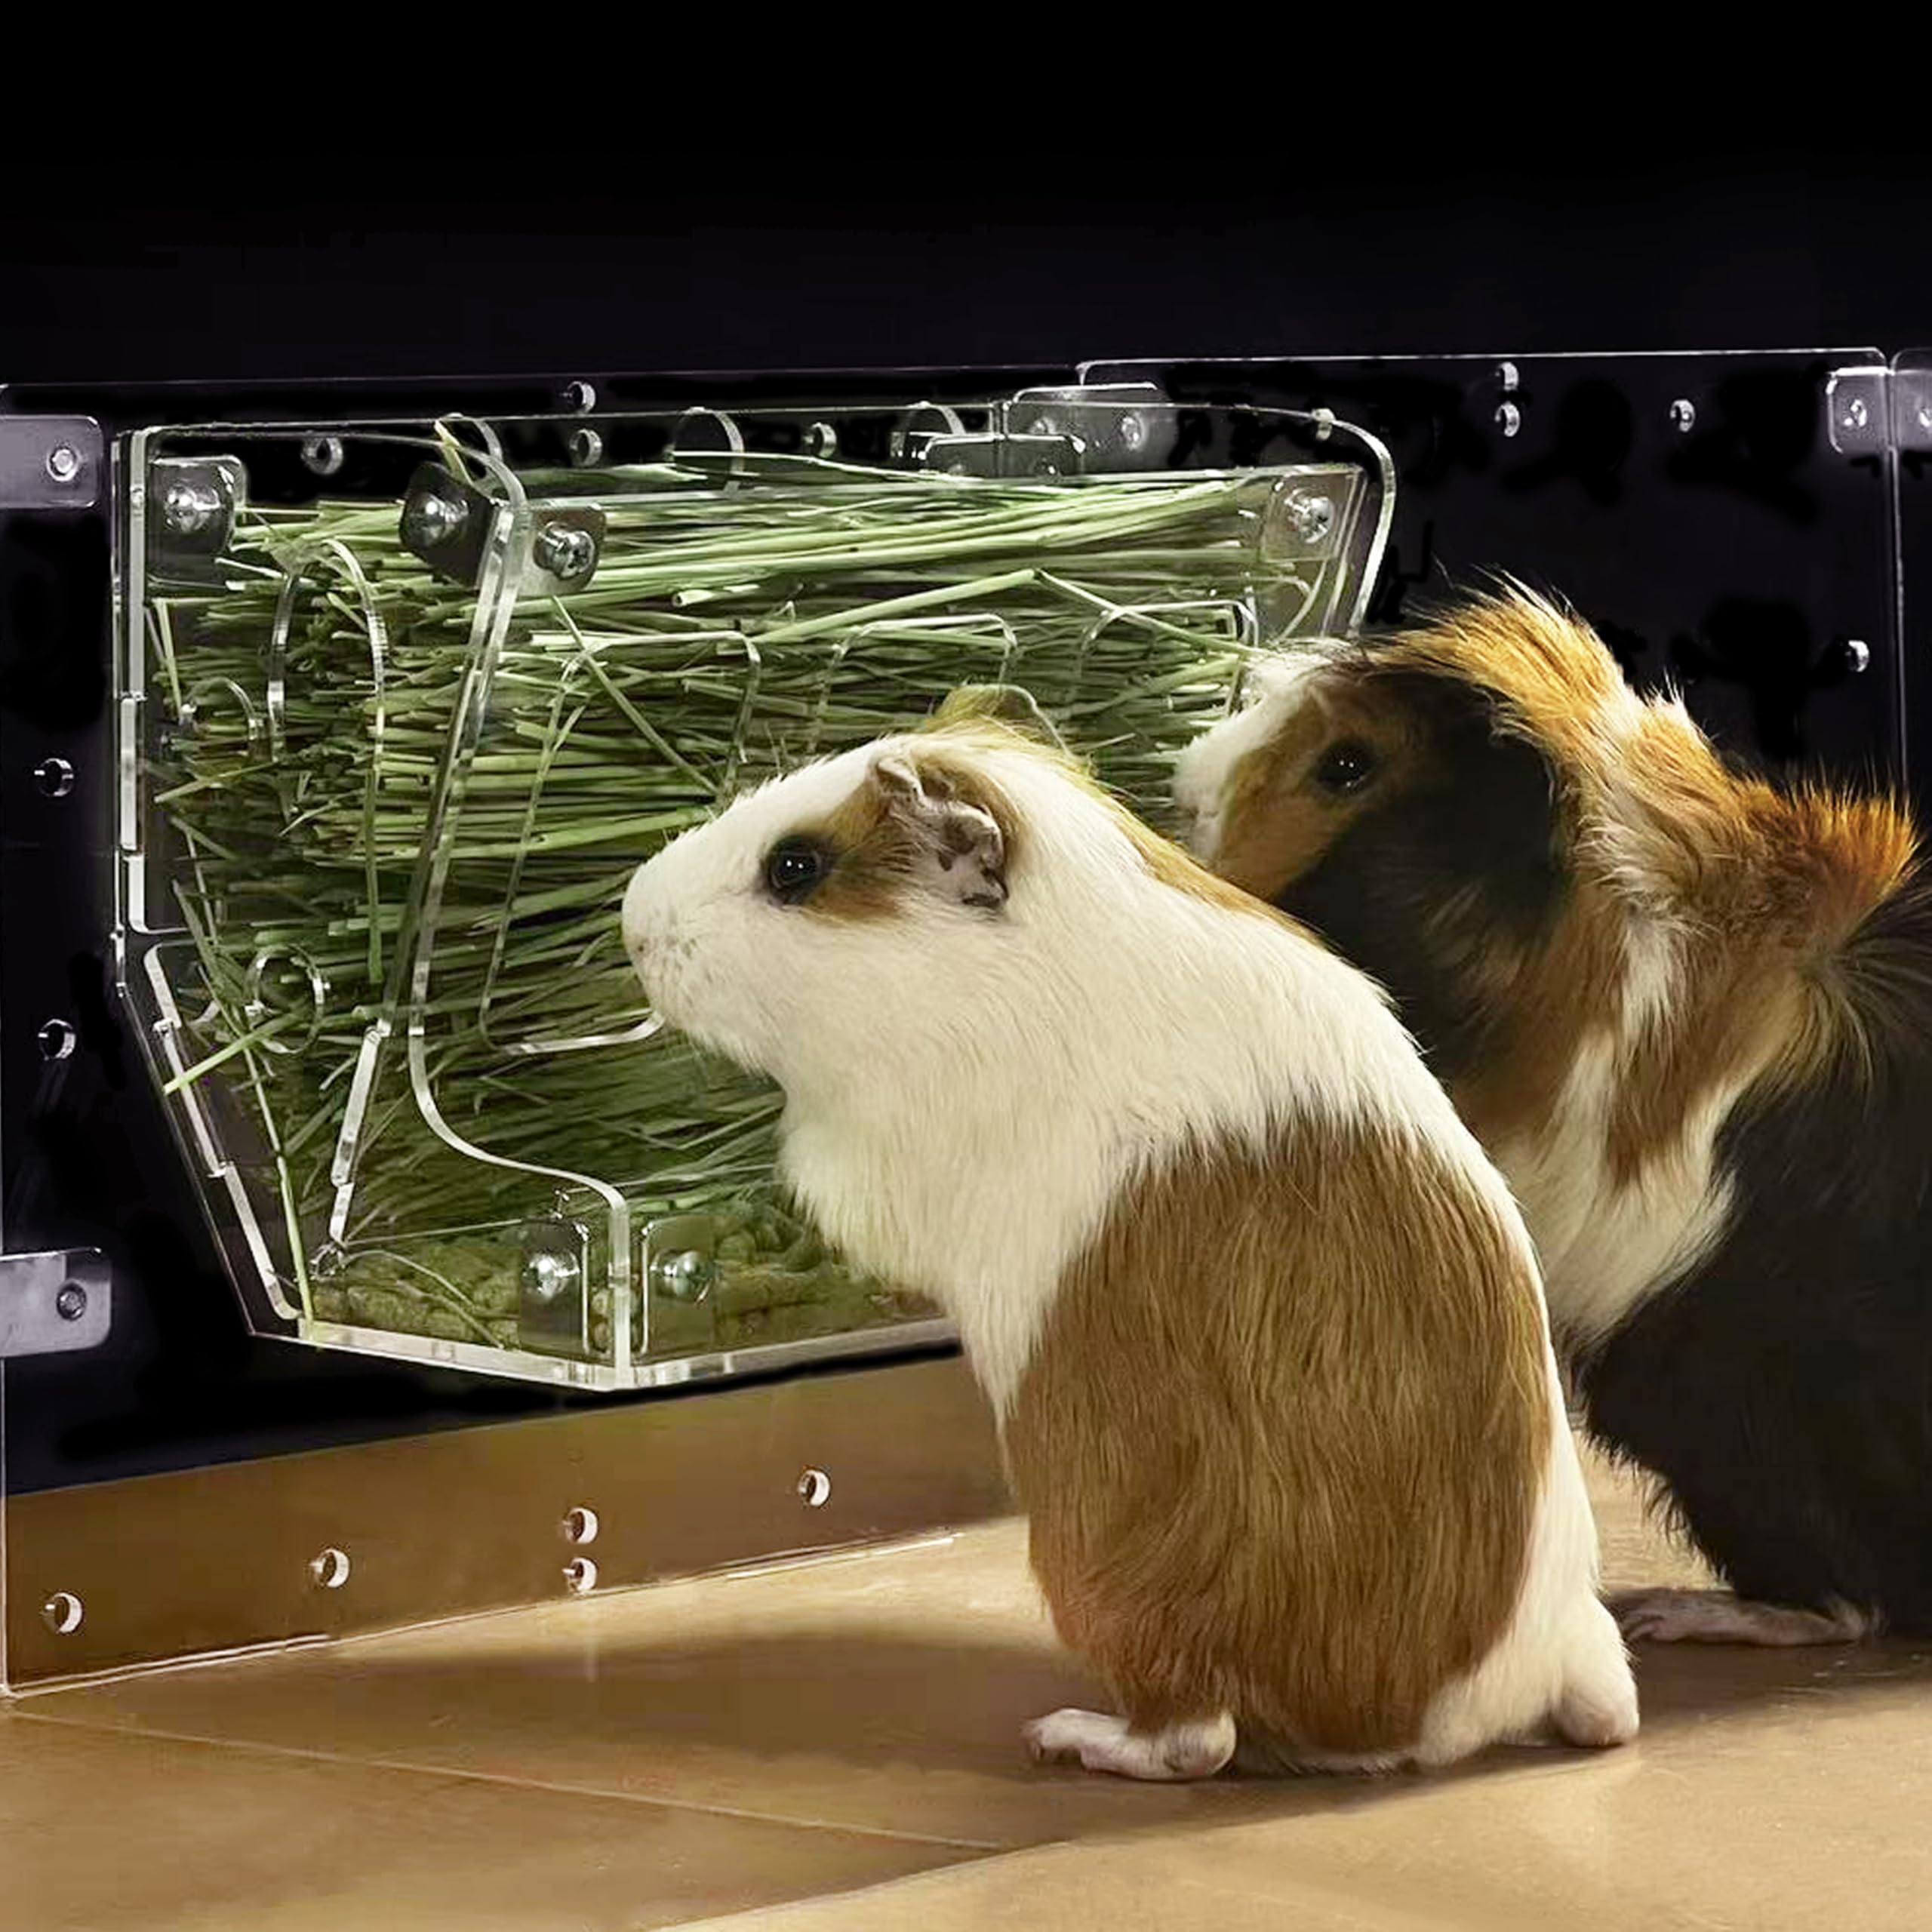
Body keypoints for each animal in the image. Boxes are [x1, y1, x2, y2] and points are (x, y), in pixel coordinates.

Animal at [621, 706, 1636, 1778]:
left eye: (795, 866)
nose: (635, 921)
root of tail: (1483, 1690)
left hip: (1106, 1577)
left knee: (1195, 1738)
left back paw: (1070, 1736)